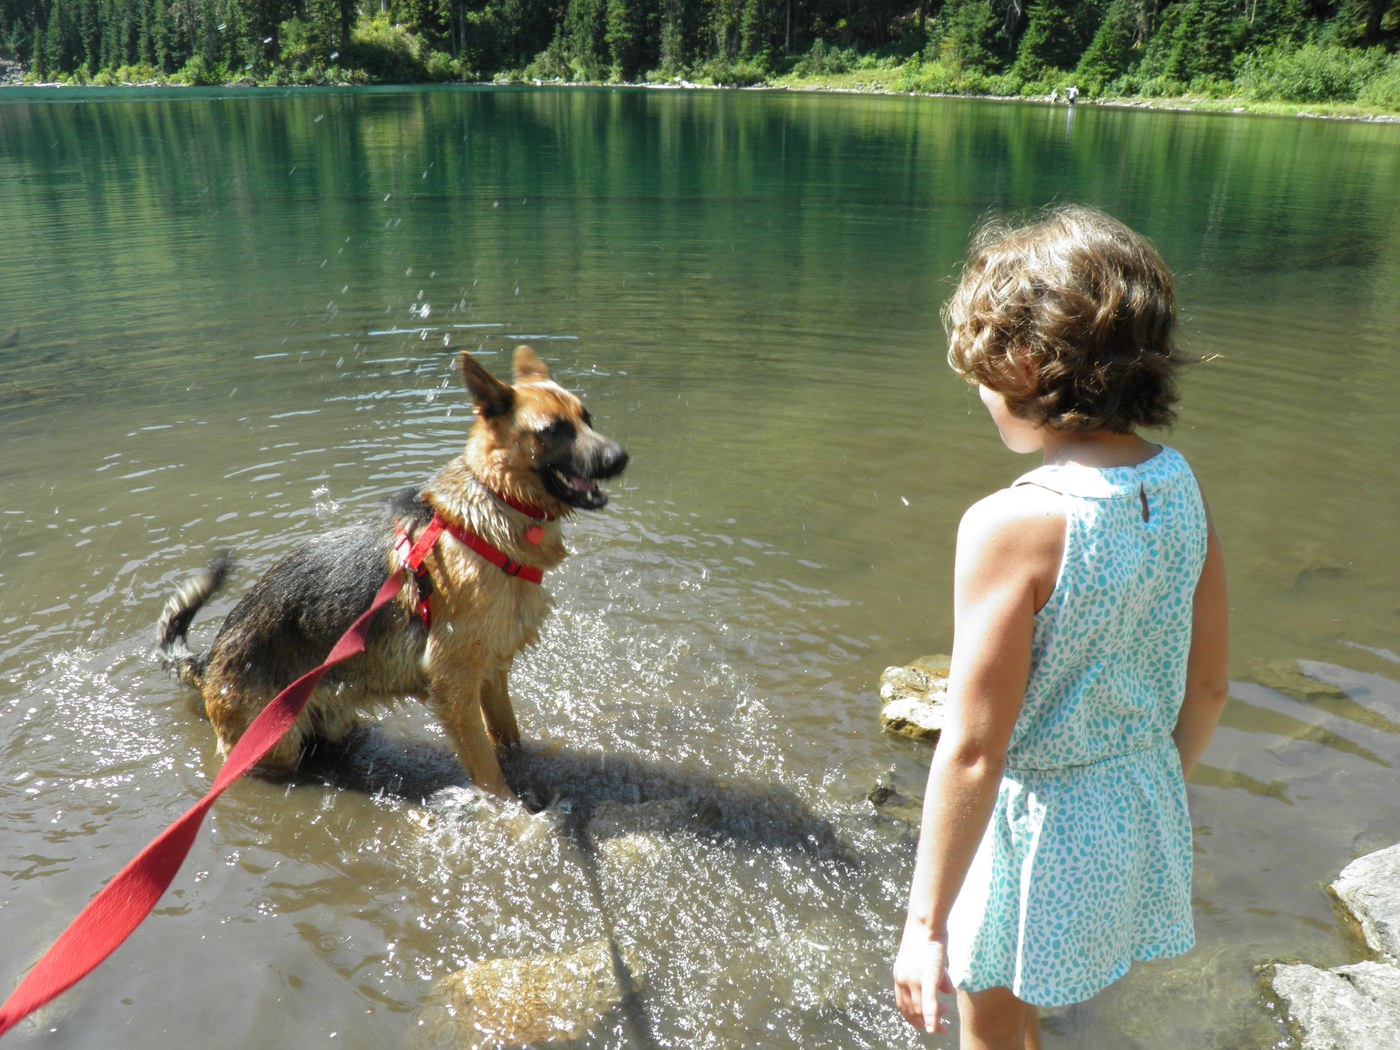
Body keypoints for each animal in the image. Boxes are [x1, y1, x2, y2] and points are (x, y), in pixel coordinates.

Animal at [156, 346, 628, 798]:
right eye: (553, 430)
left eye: (586, 418)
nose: (621, 457)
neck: (494, 508)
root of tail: (208, 659)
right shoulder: (455, 684)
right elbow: (488, 770)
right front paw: (510, 814)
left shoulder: (493, 673)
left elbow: (508, 738)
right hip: (275, 745)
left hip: (337, 720)